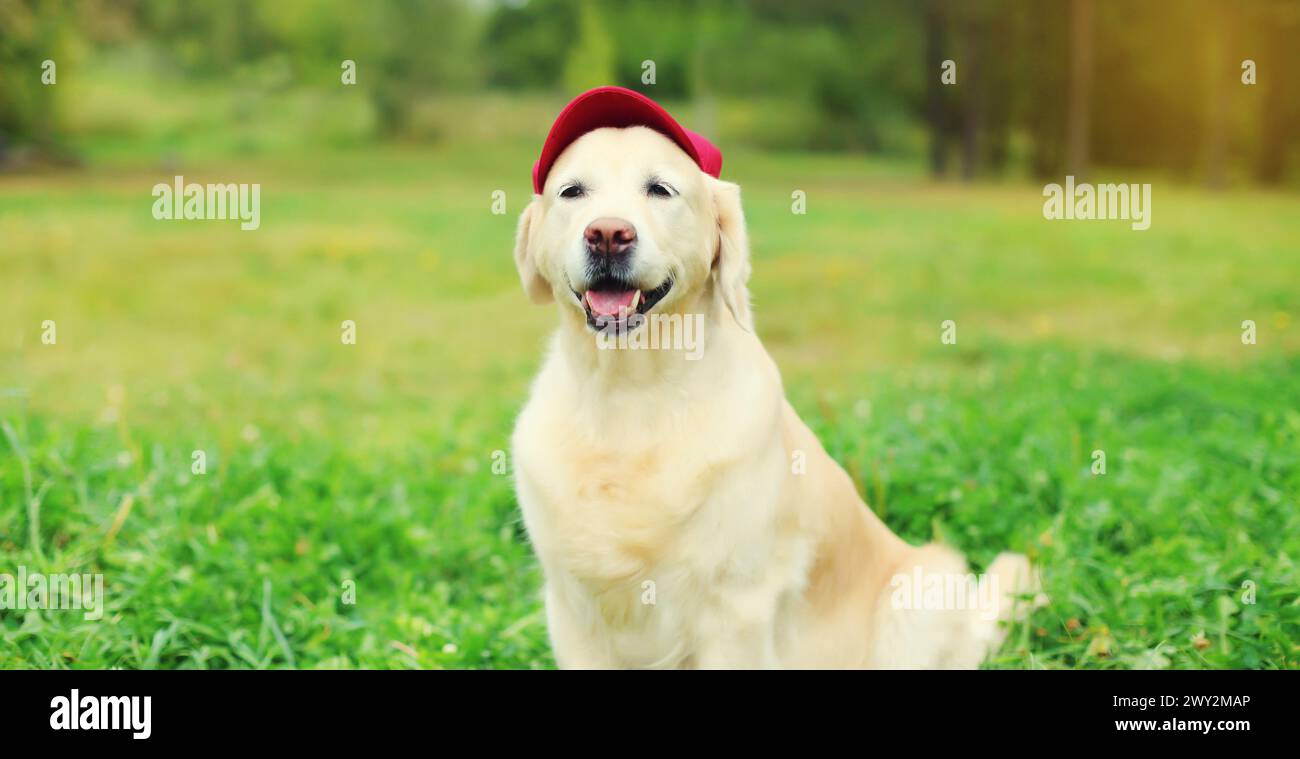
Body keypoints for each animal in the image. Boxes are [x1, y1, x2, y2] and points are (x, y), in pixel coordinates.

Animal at [506, 98, 1034, 665]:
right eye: (572, 192)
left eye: (660, 189)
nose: (607, 234)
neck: (631, 394)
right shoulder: (570, 609)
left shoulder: (736, 609)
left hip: (924, 589)